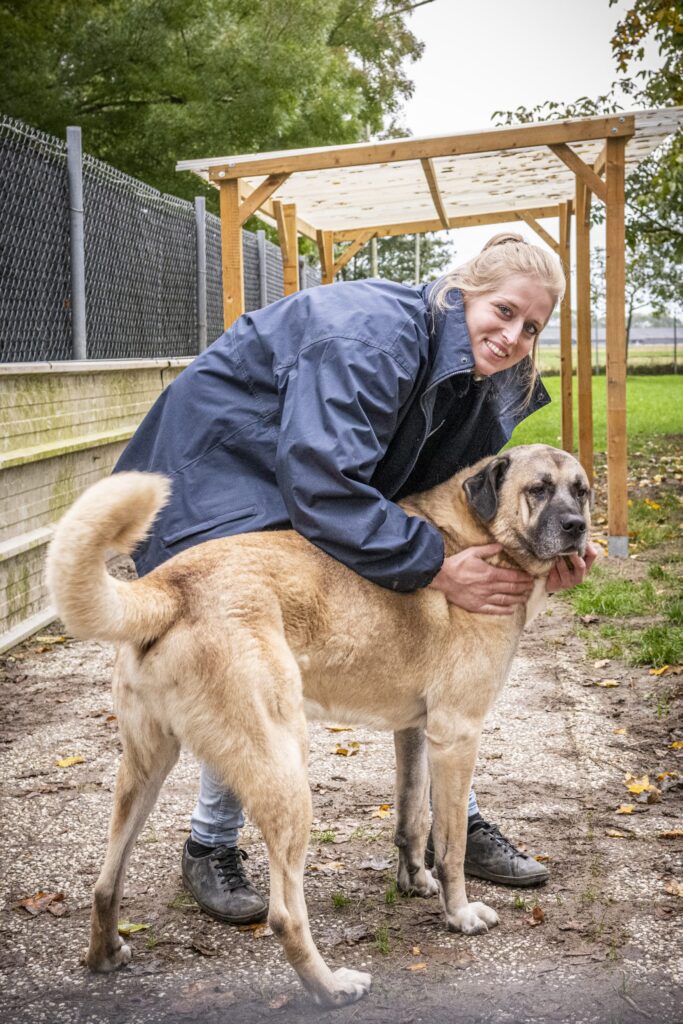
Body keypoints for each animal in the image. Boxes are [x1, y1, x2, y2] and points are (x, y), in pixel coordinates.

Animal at [46, 442, 593, 1007]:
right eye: (538, 489)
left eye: (581, 491)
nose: (577, 527)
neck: (479, 535)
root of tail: (170, 587)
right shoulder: (457, 734)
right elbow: (451, 843)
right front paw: (458, 913)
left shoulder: (415, 732)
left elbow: (412, 819)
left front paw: (414, 881)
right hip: (287, 774)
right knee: (285, 915)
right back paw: (331, 987)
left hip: (145, 770)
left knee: (105, 882)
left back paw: (106, 955)